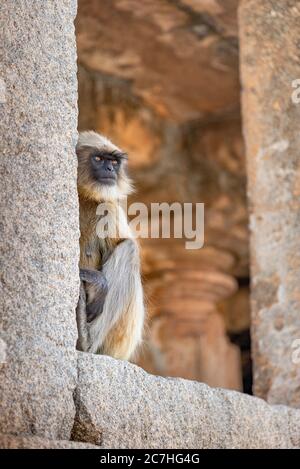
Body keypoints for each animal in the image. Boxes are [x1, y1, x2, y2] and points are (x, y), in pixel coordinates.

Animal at [75, 130, 145, 360]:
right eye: (98, 159)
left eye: (114, 162)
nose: (109, 170)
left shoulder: (109, 207)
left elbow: (122, 244)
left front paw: (99, 283)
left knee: (129, 249)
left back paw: (87, 342)